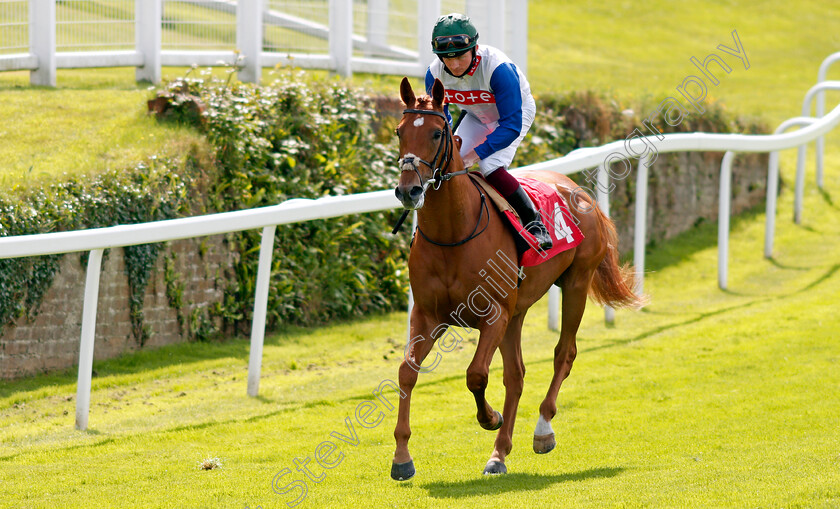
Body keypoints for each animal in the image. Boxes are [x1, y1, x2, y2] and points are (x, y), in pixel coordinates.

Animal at [390, 77, 640, 478]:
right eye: (399, 132)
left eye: (436, 133)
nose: (408, 189)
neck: (452, 233)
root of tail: (580, 192)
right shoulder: (428, 316)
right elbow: (406, 373)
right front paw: (401, 457)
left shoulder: (494, 314)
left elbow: (476, 374)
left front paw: (488, 417)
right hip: (518, 311)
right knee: (516, 374)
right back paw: (499, 453)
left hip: (575, 284)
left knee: (563, 353)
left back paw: (541, 429)